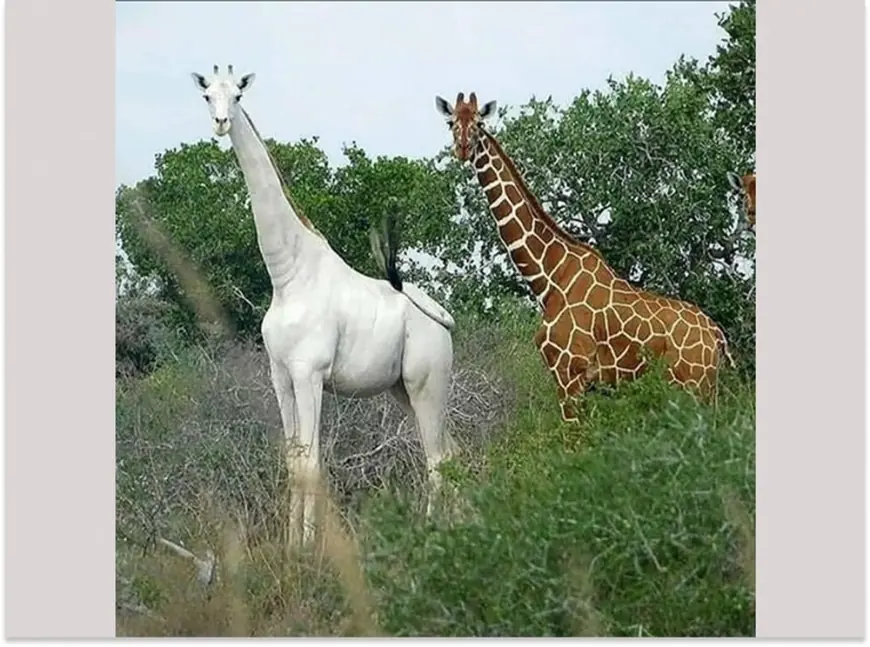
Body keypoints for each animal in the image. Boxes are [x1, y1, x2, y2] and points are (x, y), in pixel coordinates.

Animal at [190, 65, 457, 546]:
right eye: (206, 95)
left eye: (238, 95)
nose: (220, 123)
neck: (288, 275)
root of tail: (445, 321)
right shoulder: (280, 376)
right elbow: (294, 460)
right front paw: (289, 543)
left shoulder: (309, 372)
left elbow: (313, 463)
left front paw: (308, 548)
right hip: (402, 389)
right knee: (451, 451)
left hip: (428, 382)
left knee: (436, 459)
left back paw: (434, 530)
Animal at [435, 92, 735, 423]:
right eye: (451, 122)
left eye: (478, 124)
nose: (463, 148)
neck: (549, 277)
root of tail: (718, 337)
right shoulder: (583, 383)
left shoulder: (569, 373)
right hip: (703, 388)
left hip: (696, 386)